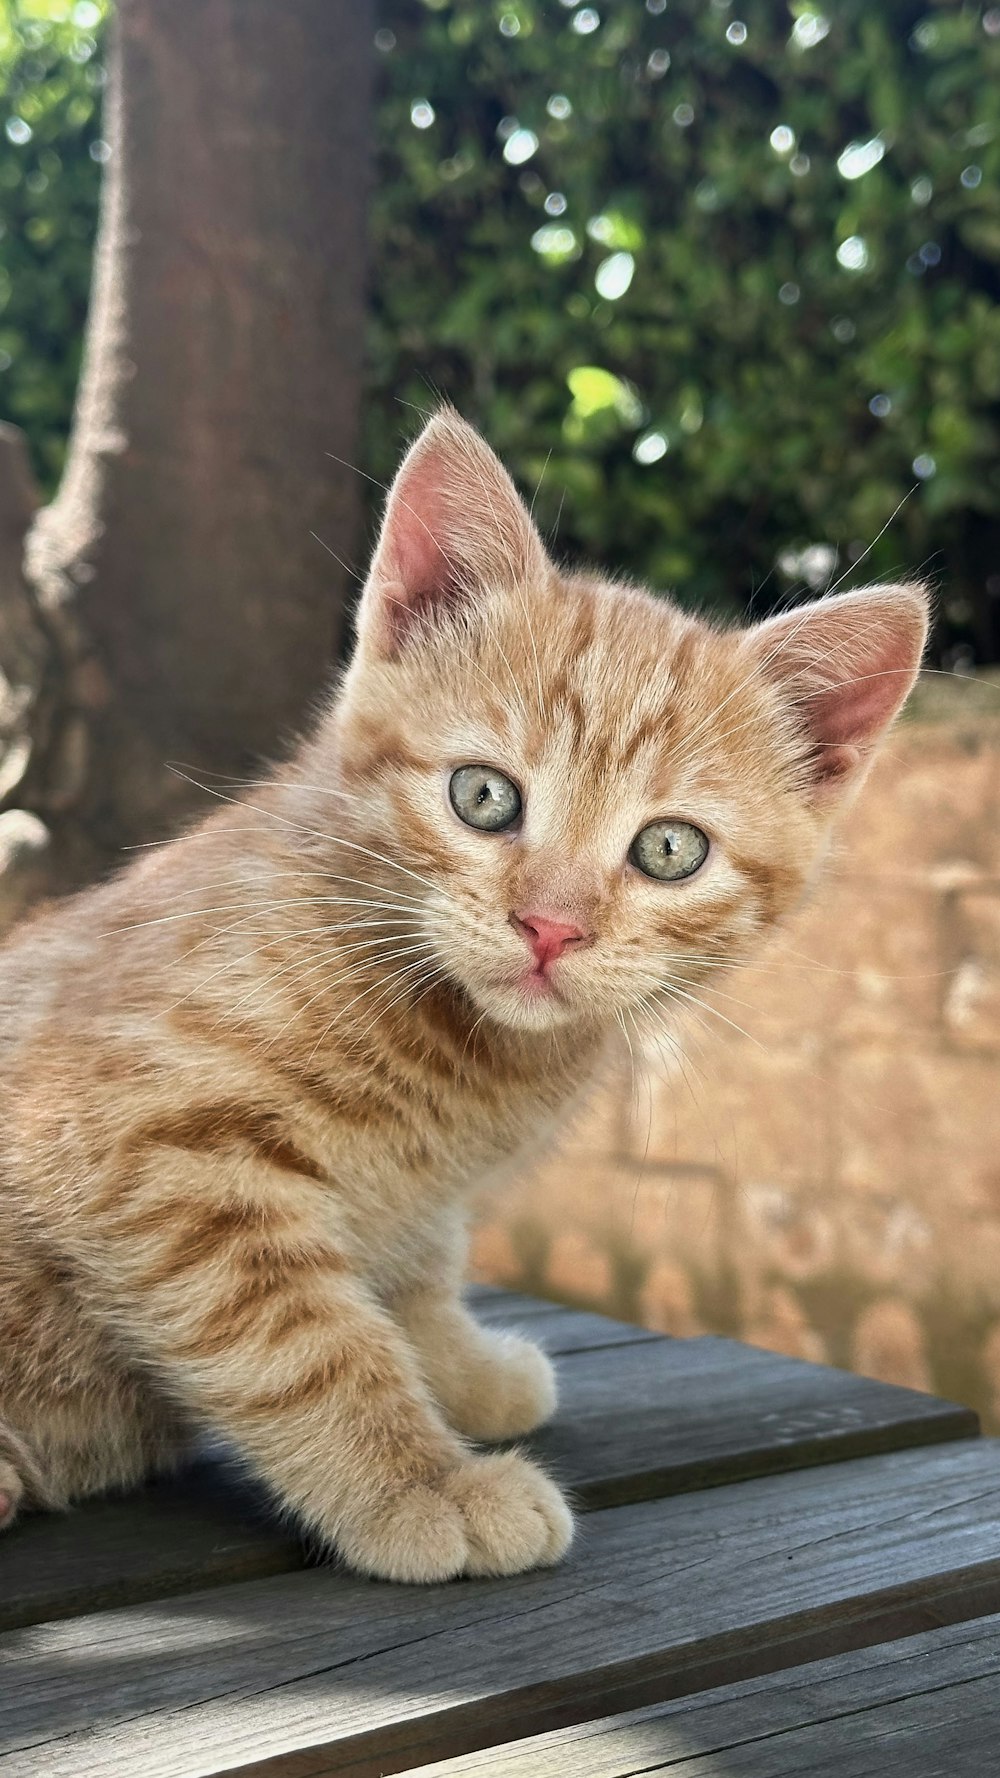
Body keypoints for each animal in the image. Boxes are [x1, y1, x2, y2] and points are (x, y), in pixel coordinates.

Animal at [0, 408, 925, 1578]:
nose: (551, 925)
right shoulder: (141, 1147)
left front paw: (457, 1364)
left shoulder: (400, 1195)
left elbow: (410, 1265)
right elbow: (301, 1334)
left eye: (670, 849)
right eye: (483, 796)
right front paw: (418, 1478)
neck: (457, 1049)